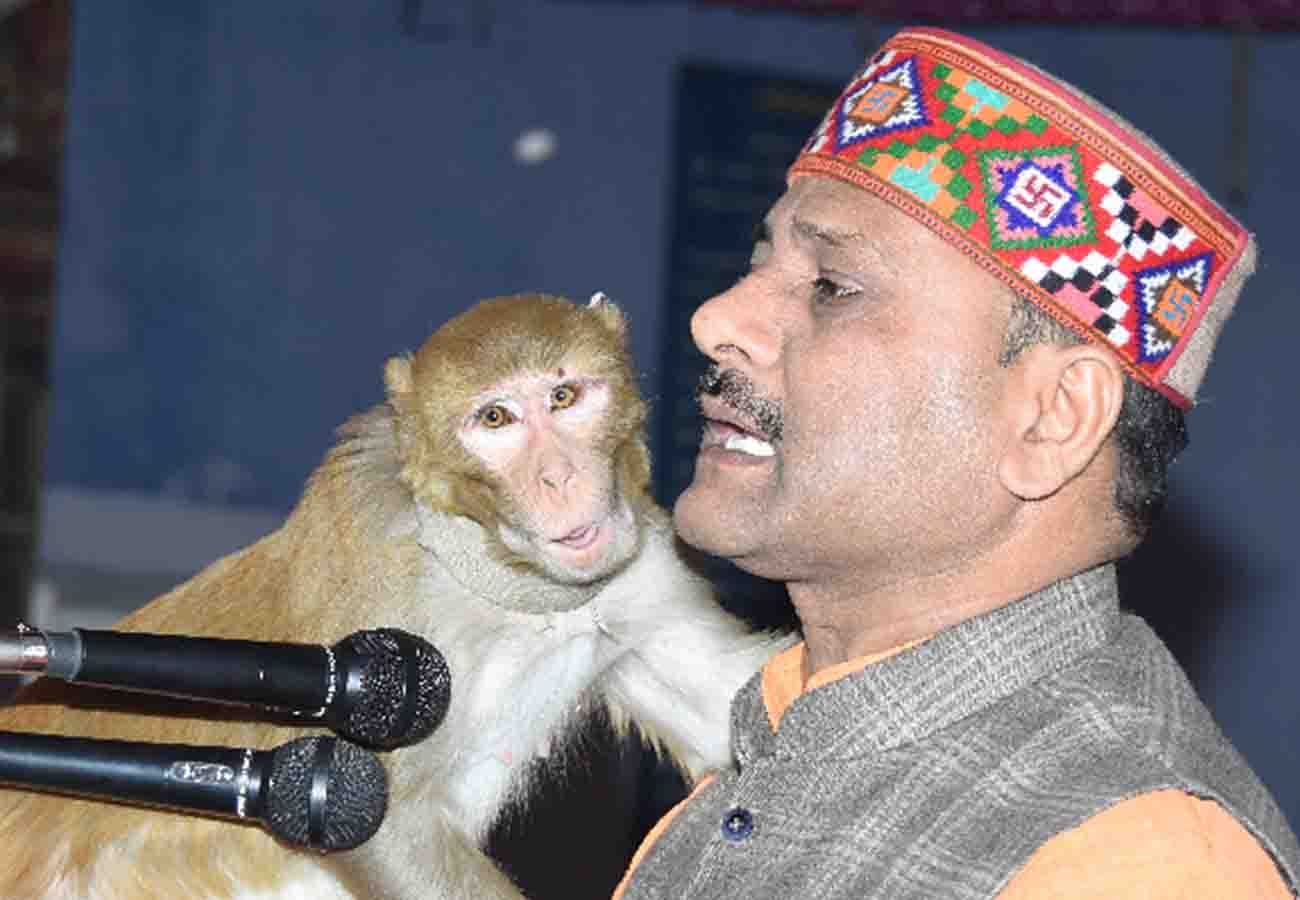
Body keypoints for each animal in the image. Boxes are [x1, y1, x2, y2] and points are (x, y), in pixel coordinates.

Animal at [0, 292, 791, 900]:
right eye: (496, 419)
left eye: (565, 397)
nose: (561, 477)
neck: (495, 576)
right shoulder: (387, 599)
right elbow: (379, 820)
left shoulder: (636, 572)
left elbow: (736, 722)